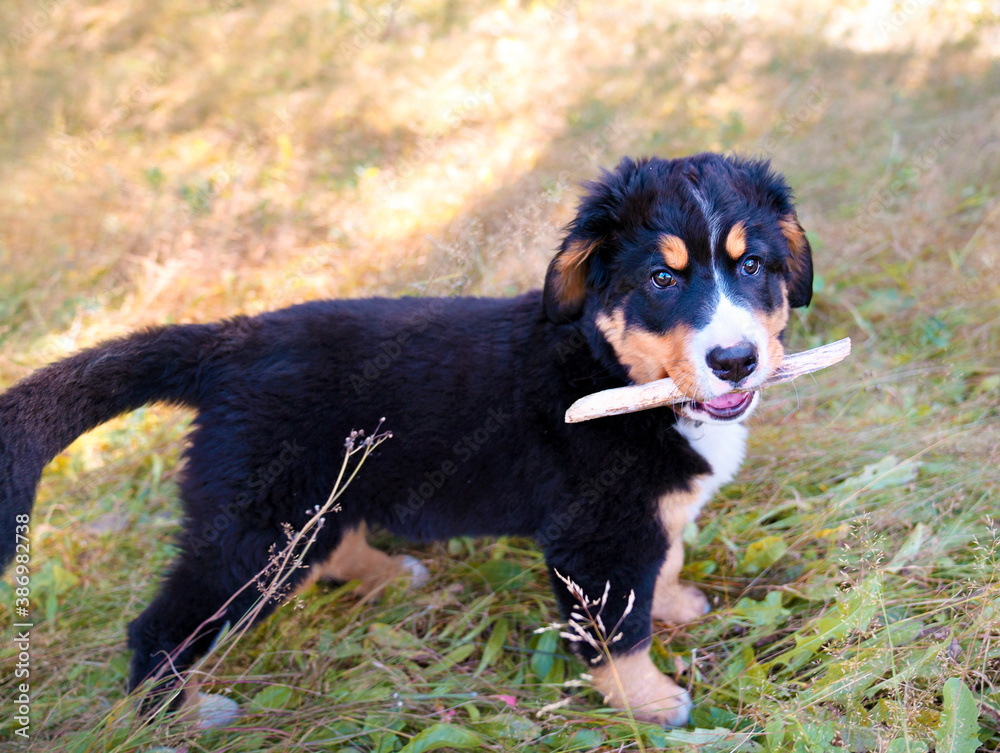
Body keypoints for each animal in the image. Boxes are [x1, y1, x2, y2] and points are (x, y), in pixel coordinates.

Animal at [0, 153, 812, 724]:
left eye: (752, 265)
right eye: (661, 280)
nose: (734, 359)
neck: (610, 368)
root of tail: (228, 342)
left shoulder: (647, 517)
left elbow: (663, 563)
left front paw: (675, 601)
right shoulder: (595, 534)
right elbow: (617, 631)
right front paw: (650, 703)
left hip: (308, 506)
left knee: (327, 549)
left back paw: (388, 575)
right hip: (248, 533)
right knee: (160, 624)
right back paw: (178, 715)